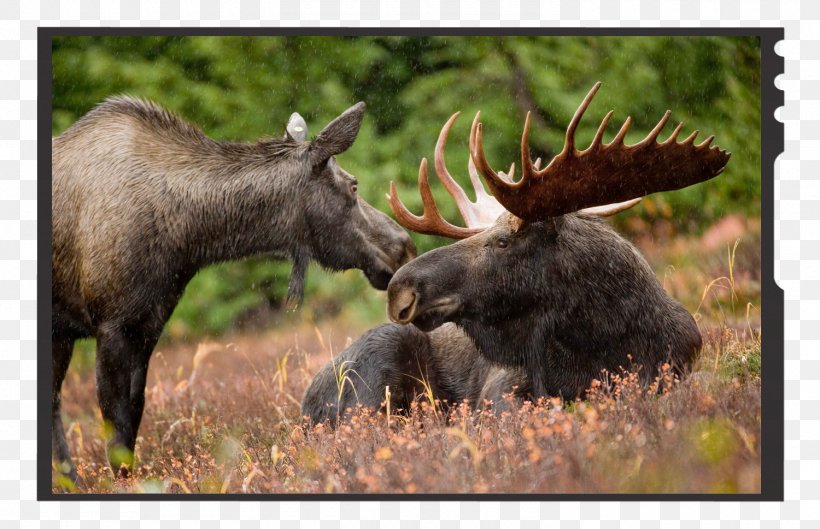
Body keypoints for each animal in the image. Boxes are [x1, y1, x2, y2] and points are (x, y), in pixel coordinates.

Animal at [52, 97, 420, 480]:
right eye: (353, 185)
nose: (404, 246)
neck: (187, 237)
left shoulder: (147, 325)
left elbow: (134, 414)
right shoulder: (111, 324)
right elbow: (116, 425)